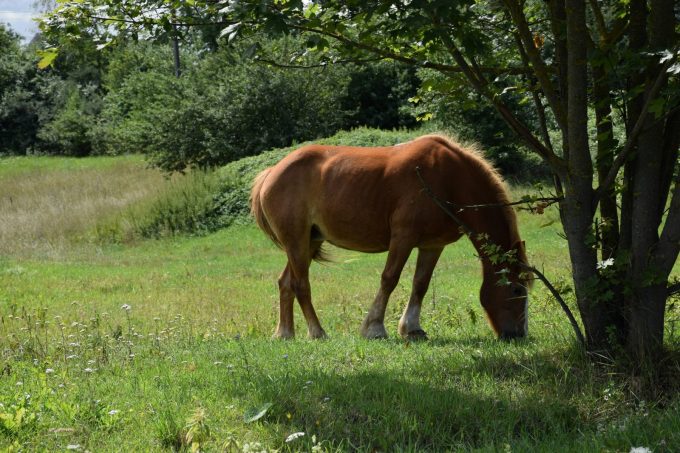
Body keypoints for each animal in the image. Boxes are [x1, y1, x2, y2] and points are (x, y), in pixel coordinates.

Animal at [250, 135, 531, 340]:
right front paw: (374, 328)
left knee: (285, 282)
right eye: (517, 289)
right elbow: (389, 279)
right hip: (296, 241)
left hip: (309, 241)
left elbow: (420, 284)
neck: (447, 179)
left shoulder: (432, 245)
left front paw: (412, 329)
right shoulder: (403, 238)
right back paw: (317, 332)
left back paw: (284, 333)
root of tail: (272, 171)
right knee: (301, 285)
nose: (518, 335)